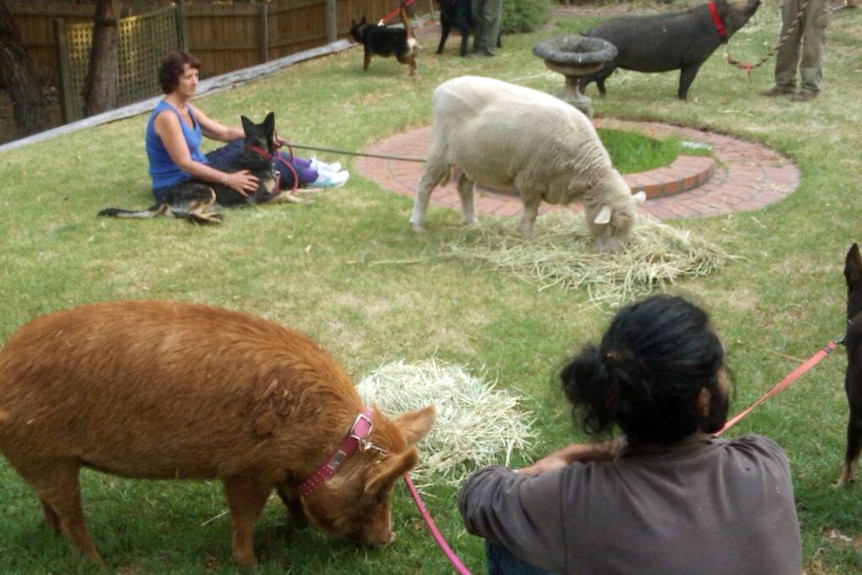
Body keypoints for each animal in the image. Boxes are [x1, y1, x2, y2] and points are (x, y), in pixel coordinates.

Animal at [0, 302, 436, 568]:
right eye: (378, 491)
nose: (389, 538)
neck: (325, 442)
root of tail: (4, 360)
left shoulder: (280, 469)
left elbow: (291, 497)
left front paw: (297, 528)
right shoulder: (246, 469)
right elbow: (244, 517)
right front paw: (252, 563)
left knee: (49, 506)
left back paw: (54, 536)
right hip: (45, 456)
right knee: (73, 517)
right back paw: (100, 564)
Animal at [98, 112, 306, 225]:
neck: (256, 152)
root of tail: (165, 196)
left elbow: (293, 190)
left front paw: (309, 194)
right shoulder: (259, 197)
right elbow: (285, 194)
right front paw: (305, 201)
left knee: (183, 214)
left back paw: (214, 215)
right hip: (207, 190)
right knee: (190, 215)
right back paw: (213, 220)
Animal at [580, 0, 764, 100]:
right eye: (733, 10)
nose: (757, 1)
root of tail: (589, 32)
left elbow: (682, 80)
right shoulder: (694, 60)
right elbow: (686, 81)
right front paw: (683, 100)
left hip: (609, 67)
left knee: (599, 80)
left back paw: (604, 96)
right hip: (605, 64)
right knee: (585, 79)